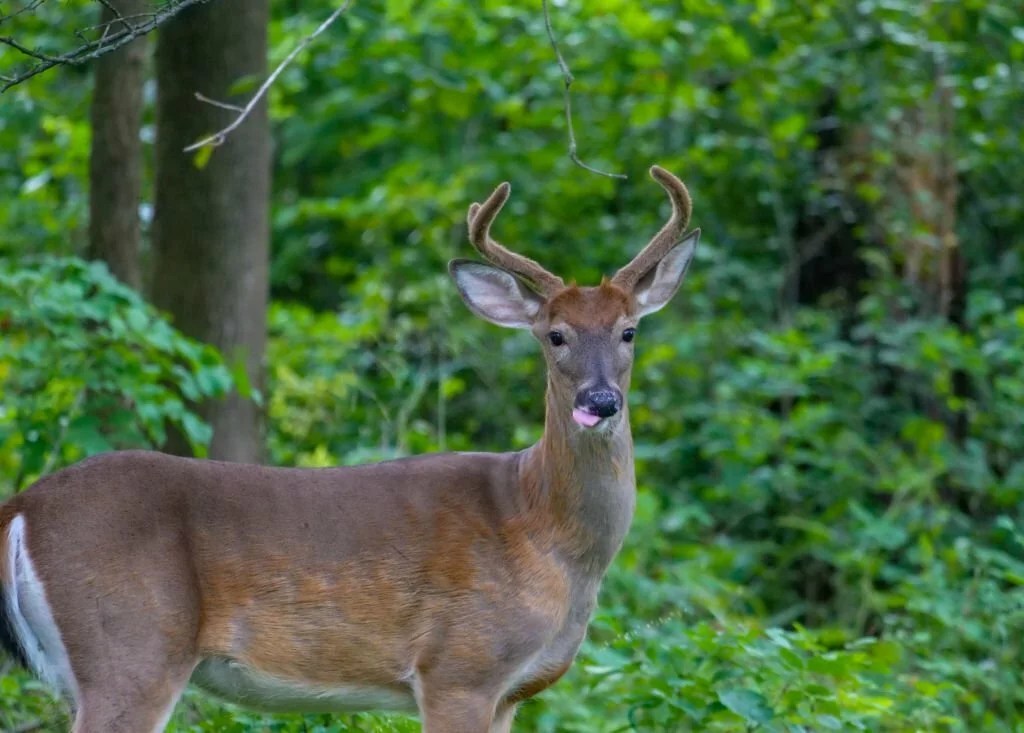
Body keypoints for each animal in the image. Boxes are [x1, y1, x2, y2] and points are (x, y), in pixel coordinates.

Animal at [0, 166, 699, 733]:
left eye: (629, 331)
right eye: (555, 335)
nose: (600, 401)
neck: (540, 527)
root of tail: (21, 507)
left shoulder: (509, 696)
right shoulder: (458, 667)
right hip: (131, 648)